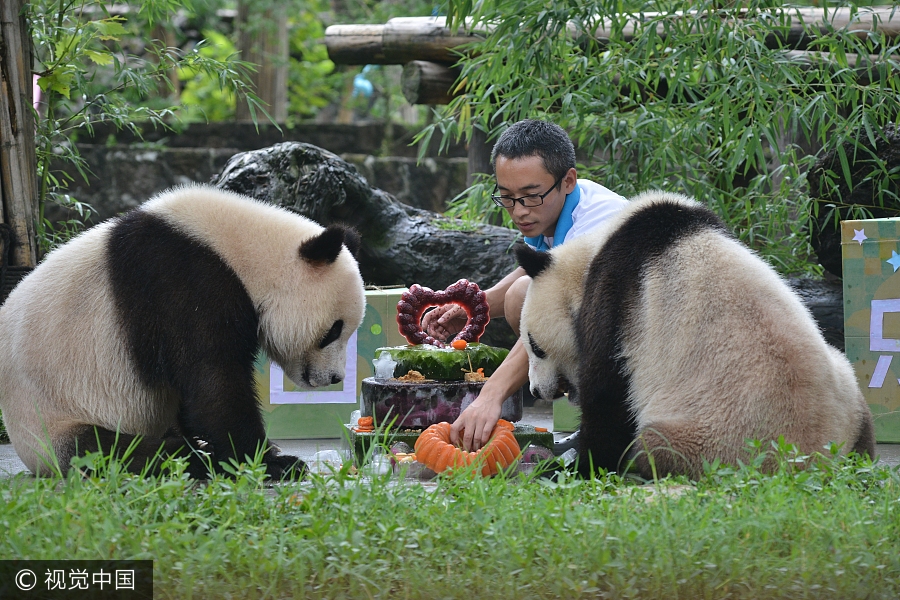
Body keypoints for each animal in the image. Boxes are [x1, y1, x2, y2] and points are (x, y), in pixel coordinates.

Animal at [0, 185, 366, 479]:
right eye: (334, 331)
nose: (334, 378)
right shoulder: (182, 282)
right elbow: (212, 381)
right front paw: (269, 461)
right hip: (55, 419)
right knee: (114, 453)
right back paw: (194, 457)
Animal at [516, 190, 876, 479]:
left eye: (535, 346)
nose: (535, 390)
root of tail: (813, 462)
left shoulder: (616, 295)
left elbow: (609, 394)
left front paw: (577, 463)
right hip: (847, 392)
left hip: (720, 434)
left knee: (657, 445)